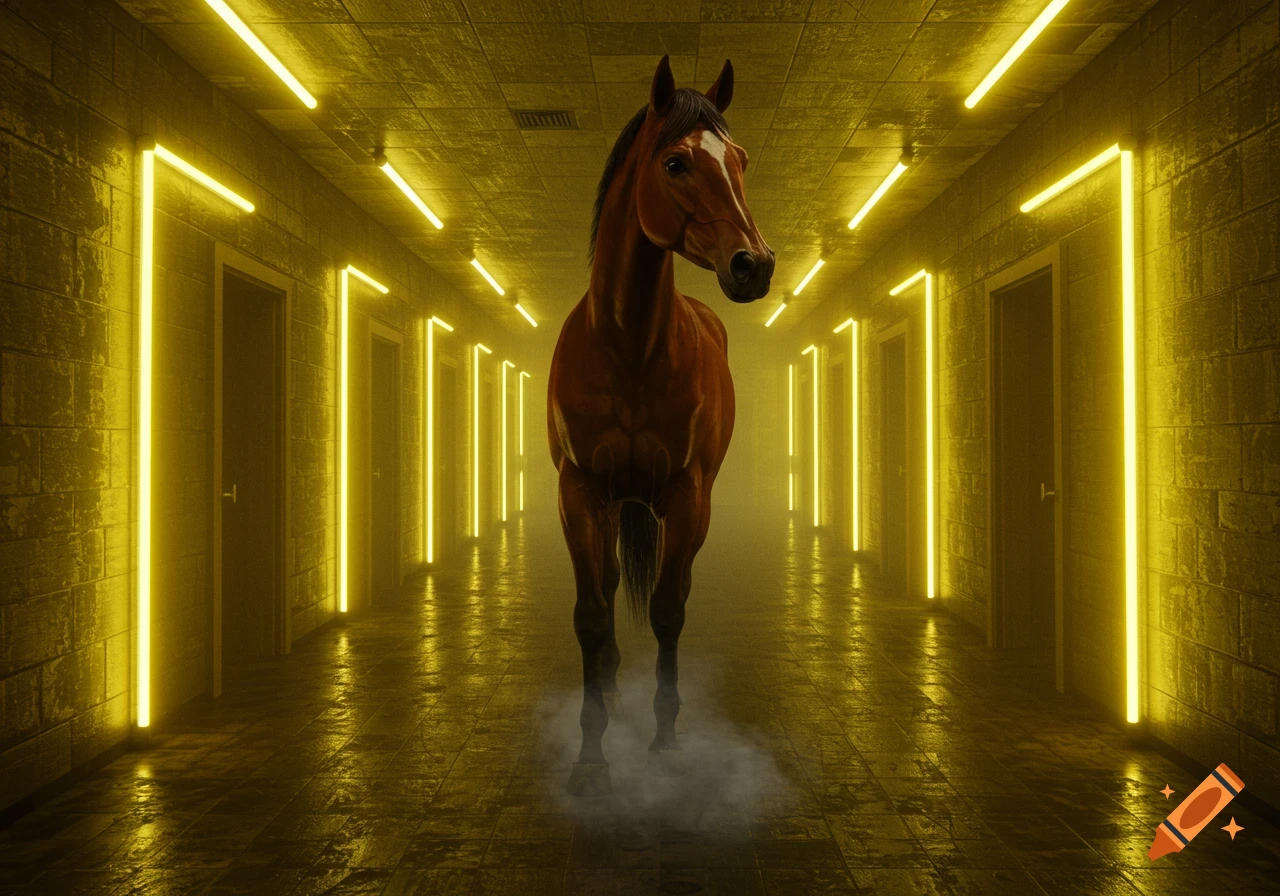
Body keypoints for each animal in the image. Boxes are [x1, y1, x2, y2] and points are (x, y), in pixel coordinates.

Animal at [546, 55, 775, 795]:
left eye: (740, 159)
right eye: (676, 163)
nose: (754, 265)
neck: (629, 348)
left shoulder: (687, 494)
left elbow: (670, 608)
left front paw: (667, 744)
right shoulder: (579, 492)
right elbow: (592, 612)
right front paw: (591, 756)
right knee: (612, 581)